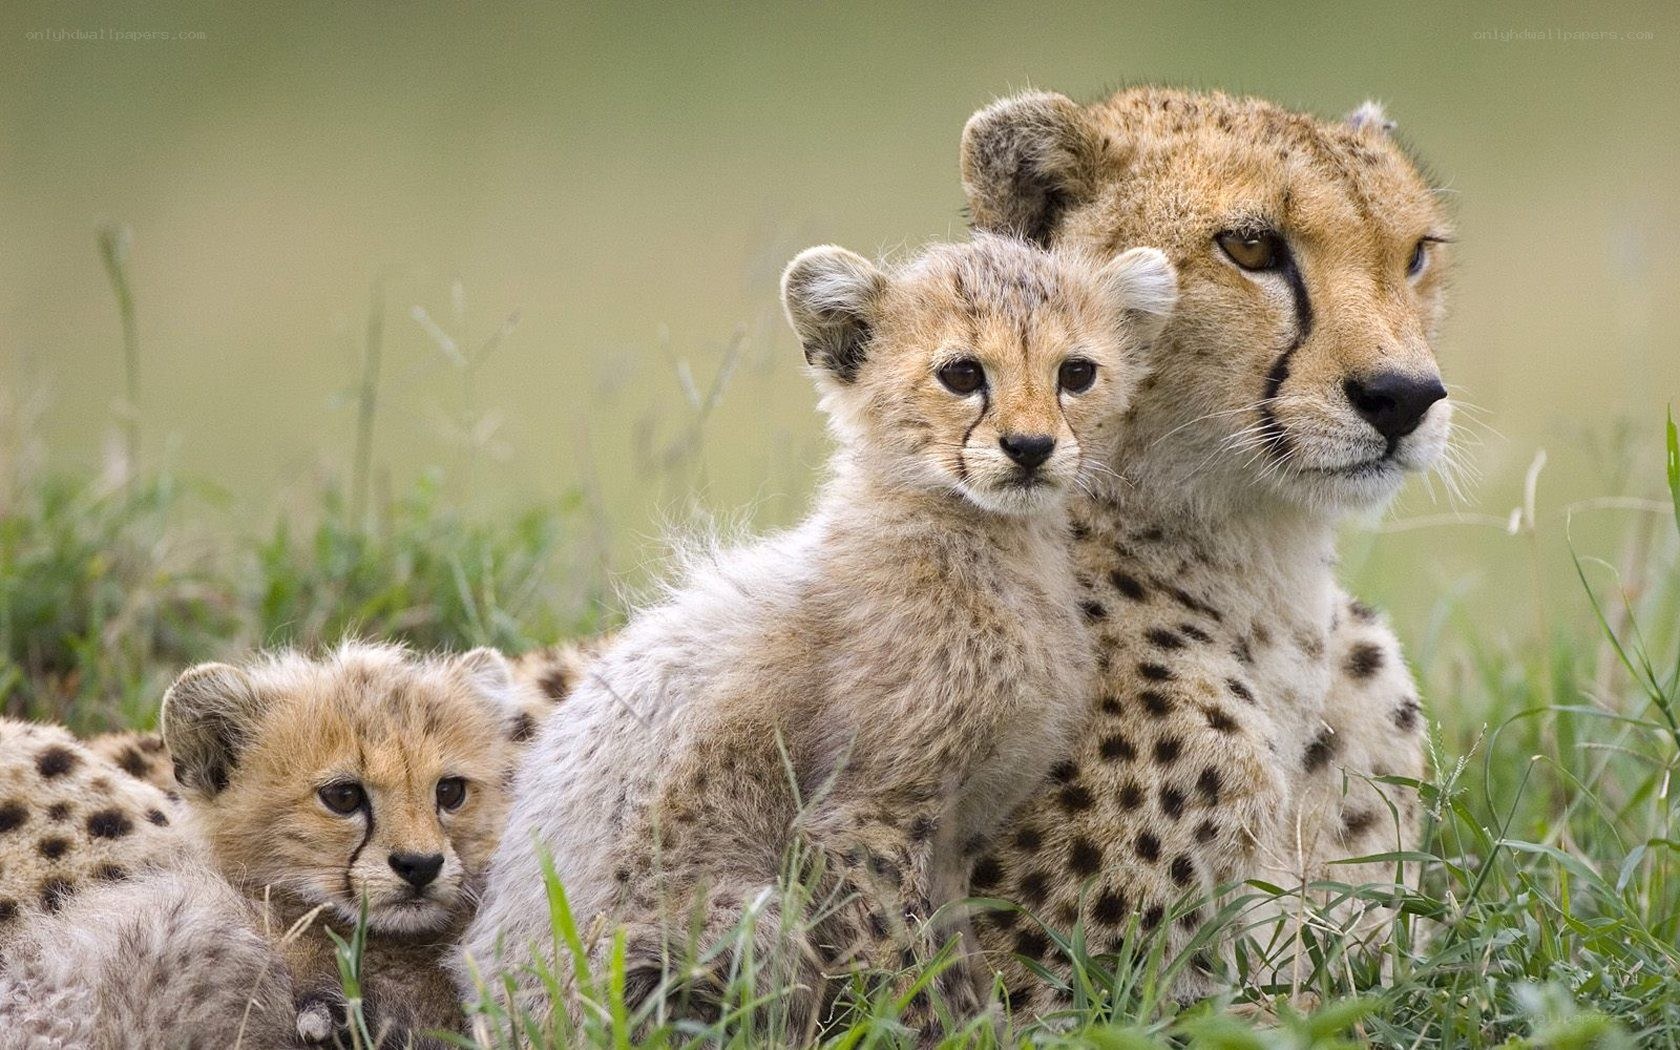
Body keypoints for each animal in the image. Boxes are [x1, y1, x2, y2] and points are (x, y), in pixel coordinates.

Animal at [457, 233, 1178, 1040]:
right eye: (962, 374)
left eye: (1076, 373)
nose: (1030, 446)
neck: (987, 542)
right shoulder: (859, 820)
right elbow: (908, 969)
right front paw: (929, 1033)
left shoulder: (953, 837)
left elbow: (954, 955)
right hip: (736, 920)